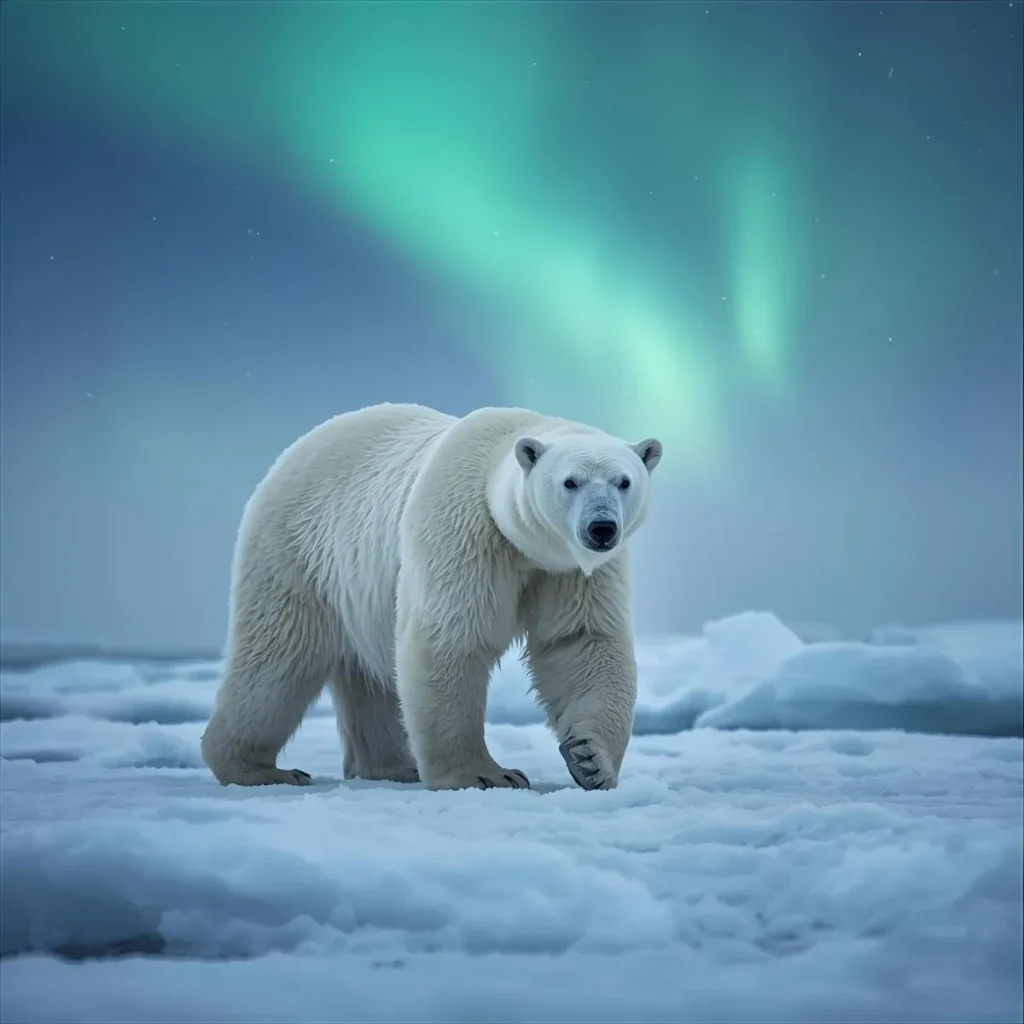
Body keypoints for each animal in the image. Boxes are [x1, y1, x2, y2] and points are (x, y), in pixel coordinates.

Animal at [200, 403, 663, 792]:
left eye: (624, 481)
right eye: (570, 482)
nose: (601, 527)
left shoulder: (574, 572)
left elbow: (582, 643)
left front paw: (590, 760)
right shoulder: (465, 528)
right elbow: (451, 638)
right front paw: (486, 775)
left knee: (366, 680)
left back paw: (391, 767)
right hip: (300, 549)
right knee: (278, 659)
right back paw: (258, 769)